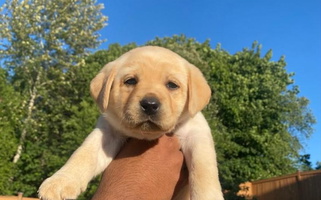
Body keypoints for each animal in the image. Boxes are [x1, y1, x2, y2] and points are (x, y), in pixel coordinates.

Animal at [38, 46, 222, 199]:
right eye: (130, 81)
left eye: (172, 85)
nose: (150, 104)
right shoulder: (108, 132)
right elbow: (85, 153)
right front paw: (61, 181)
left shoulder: (197, 134)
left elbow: (203, 172)